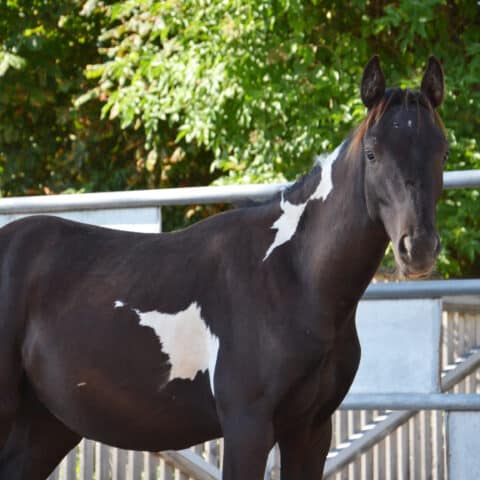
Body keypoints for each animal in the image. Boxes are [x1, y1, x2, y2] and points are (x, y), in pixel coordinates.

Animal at [0, 54, 448, 478]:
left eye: (442, 151)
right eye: (372, 153)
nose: (418, 248)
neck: (291, 277)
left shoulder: (311, 431)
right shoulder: (247, 428)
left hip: (48, 424)